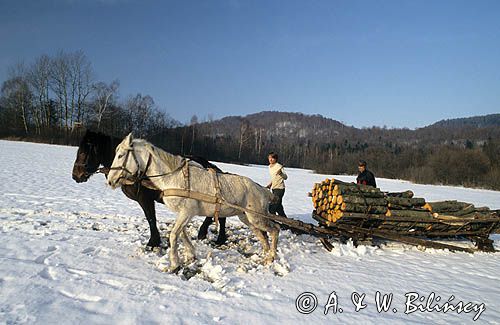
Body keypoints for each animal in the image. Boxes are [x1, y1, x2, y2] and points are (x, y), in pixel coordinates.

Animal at [72, 129, 229, 246]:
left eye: (83, 153)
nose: (75, 175)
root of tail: (211, 166)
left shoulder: (145, 198)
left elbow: (150, 218)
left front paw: (153, 242)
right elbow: (150, 218)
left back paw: (216, 237)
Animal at [107, 132, 280, 270]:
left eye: (121, 155)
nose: (110, 181)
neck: (173, 177)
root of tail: (264, 190)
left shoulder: (186, 212)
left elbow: (173, 234)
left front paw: (174, 263)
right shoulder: (185, 214)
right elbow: (182, 233)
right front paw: (190, 254)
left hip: (256, 217)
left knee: (275, 230)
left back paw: (271, 257)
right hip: (247, 218)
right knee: (263, 235)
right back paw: (266, 255)